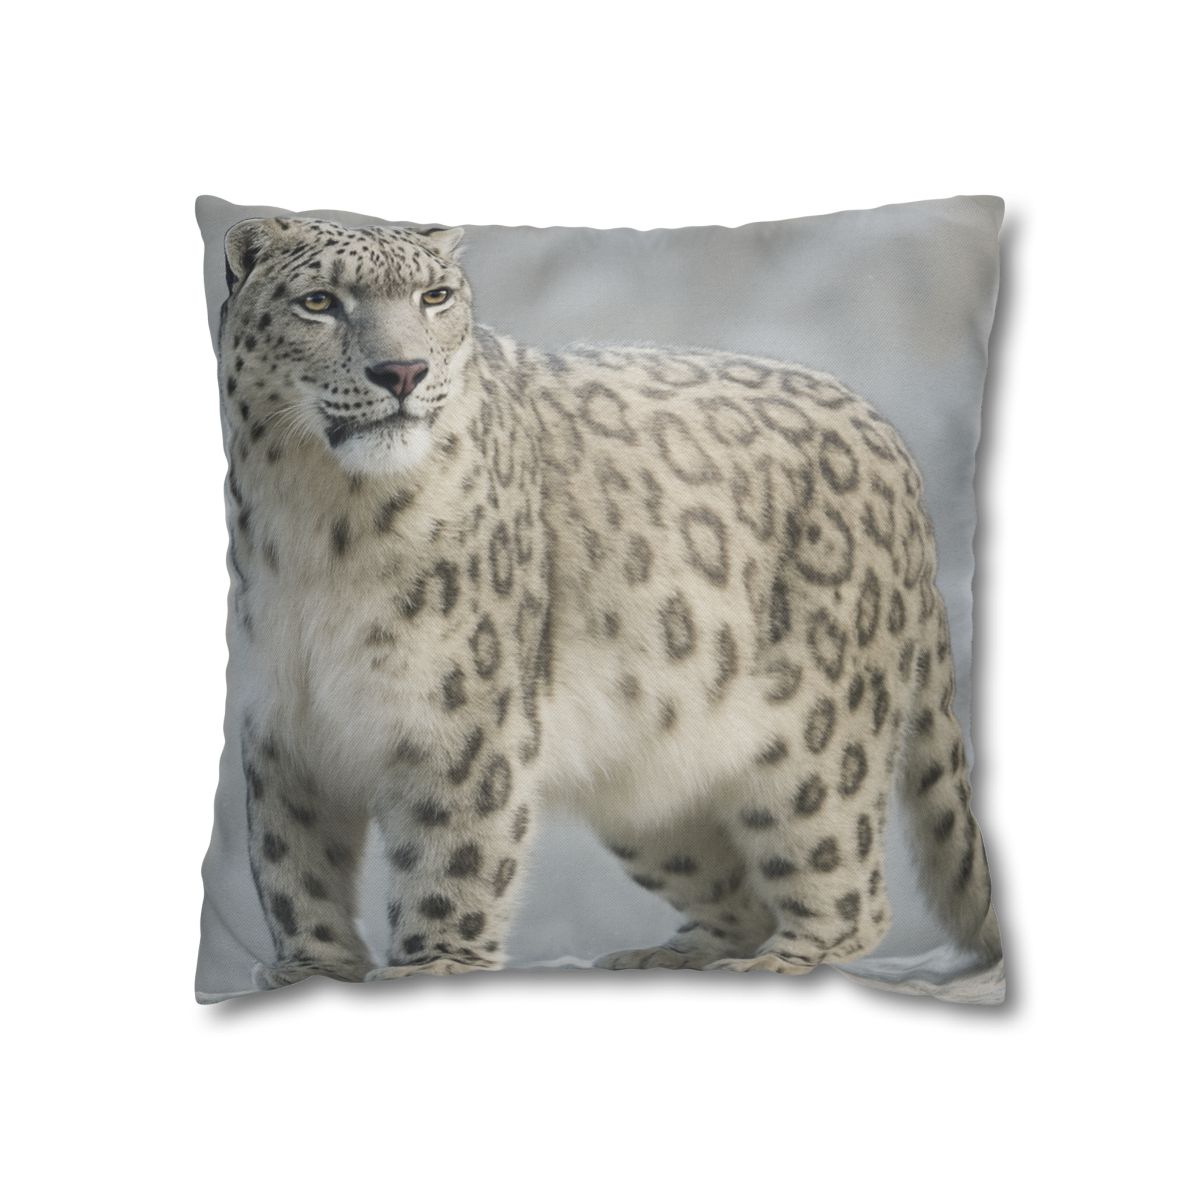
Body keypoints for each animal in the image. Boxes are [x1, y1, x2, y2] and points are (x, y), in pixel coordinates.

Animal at [216, 215, 1001, 988]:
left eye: (434, 296)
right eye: (319, 302)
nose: (403, 371)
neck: (319, 523)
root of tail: (889, 439)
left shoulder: (460, 717)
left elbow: (451, 852)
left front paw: (433, 965)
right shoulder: (282, 727)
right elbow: (292, 864)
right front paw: (313, 969)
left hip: (820, 744)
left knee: (843, 884)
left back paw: (780, 961)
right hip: (650, 792)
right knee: (735, 890)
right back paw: (671, 955)